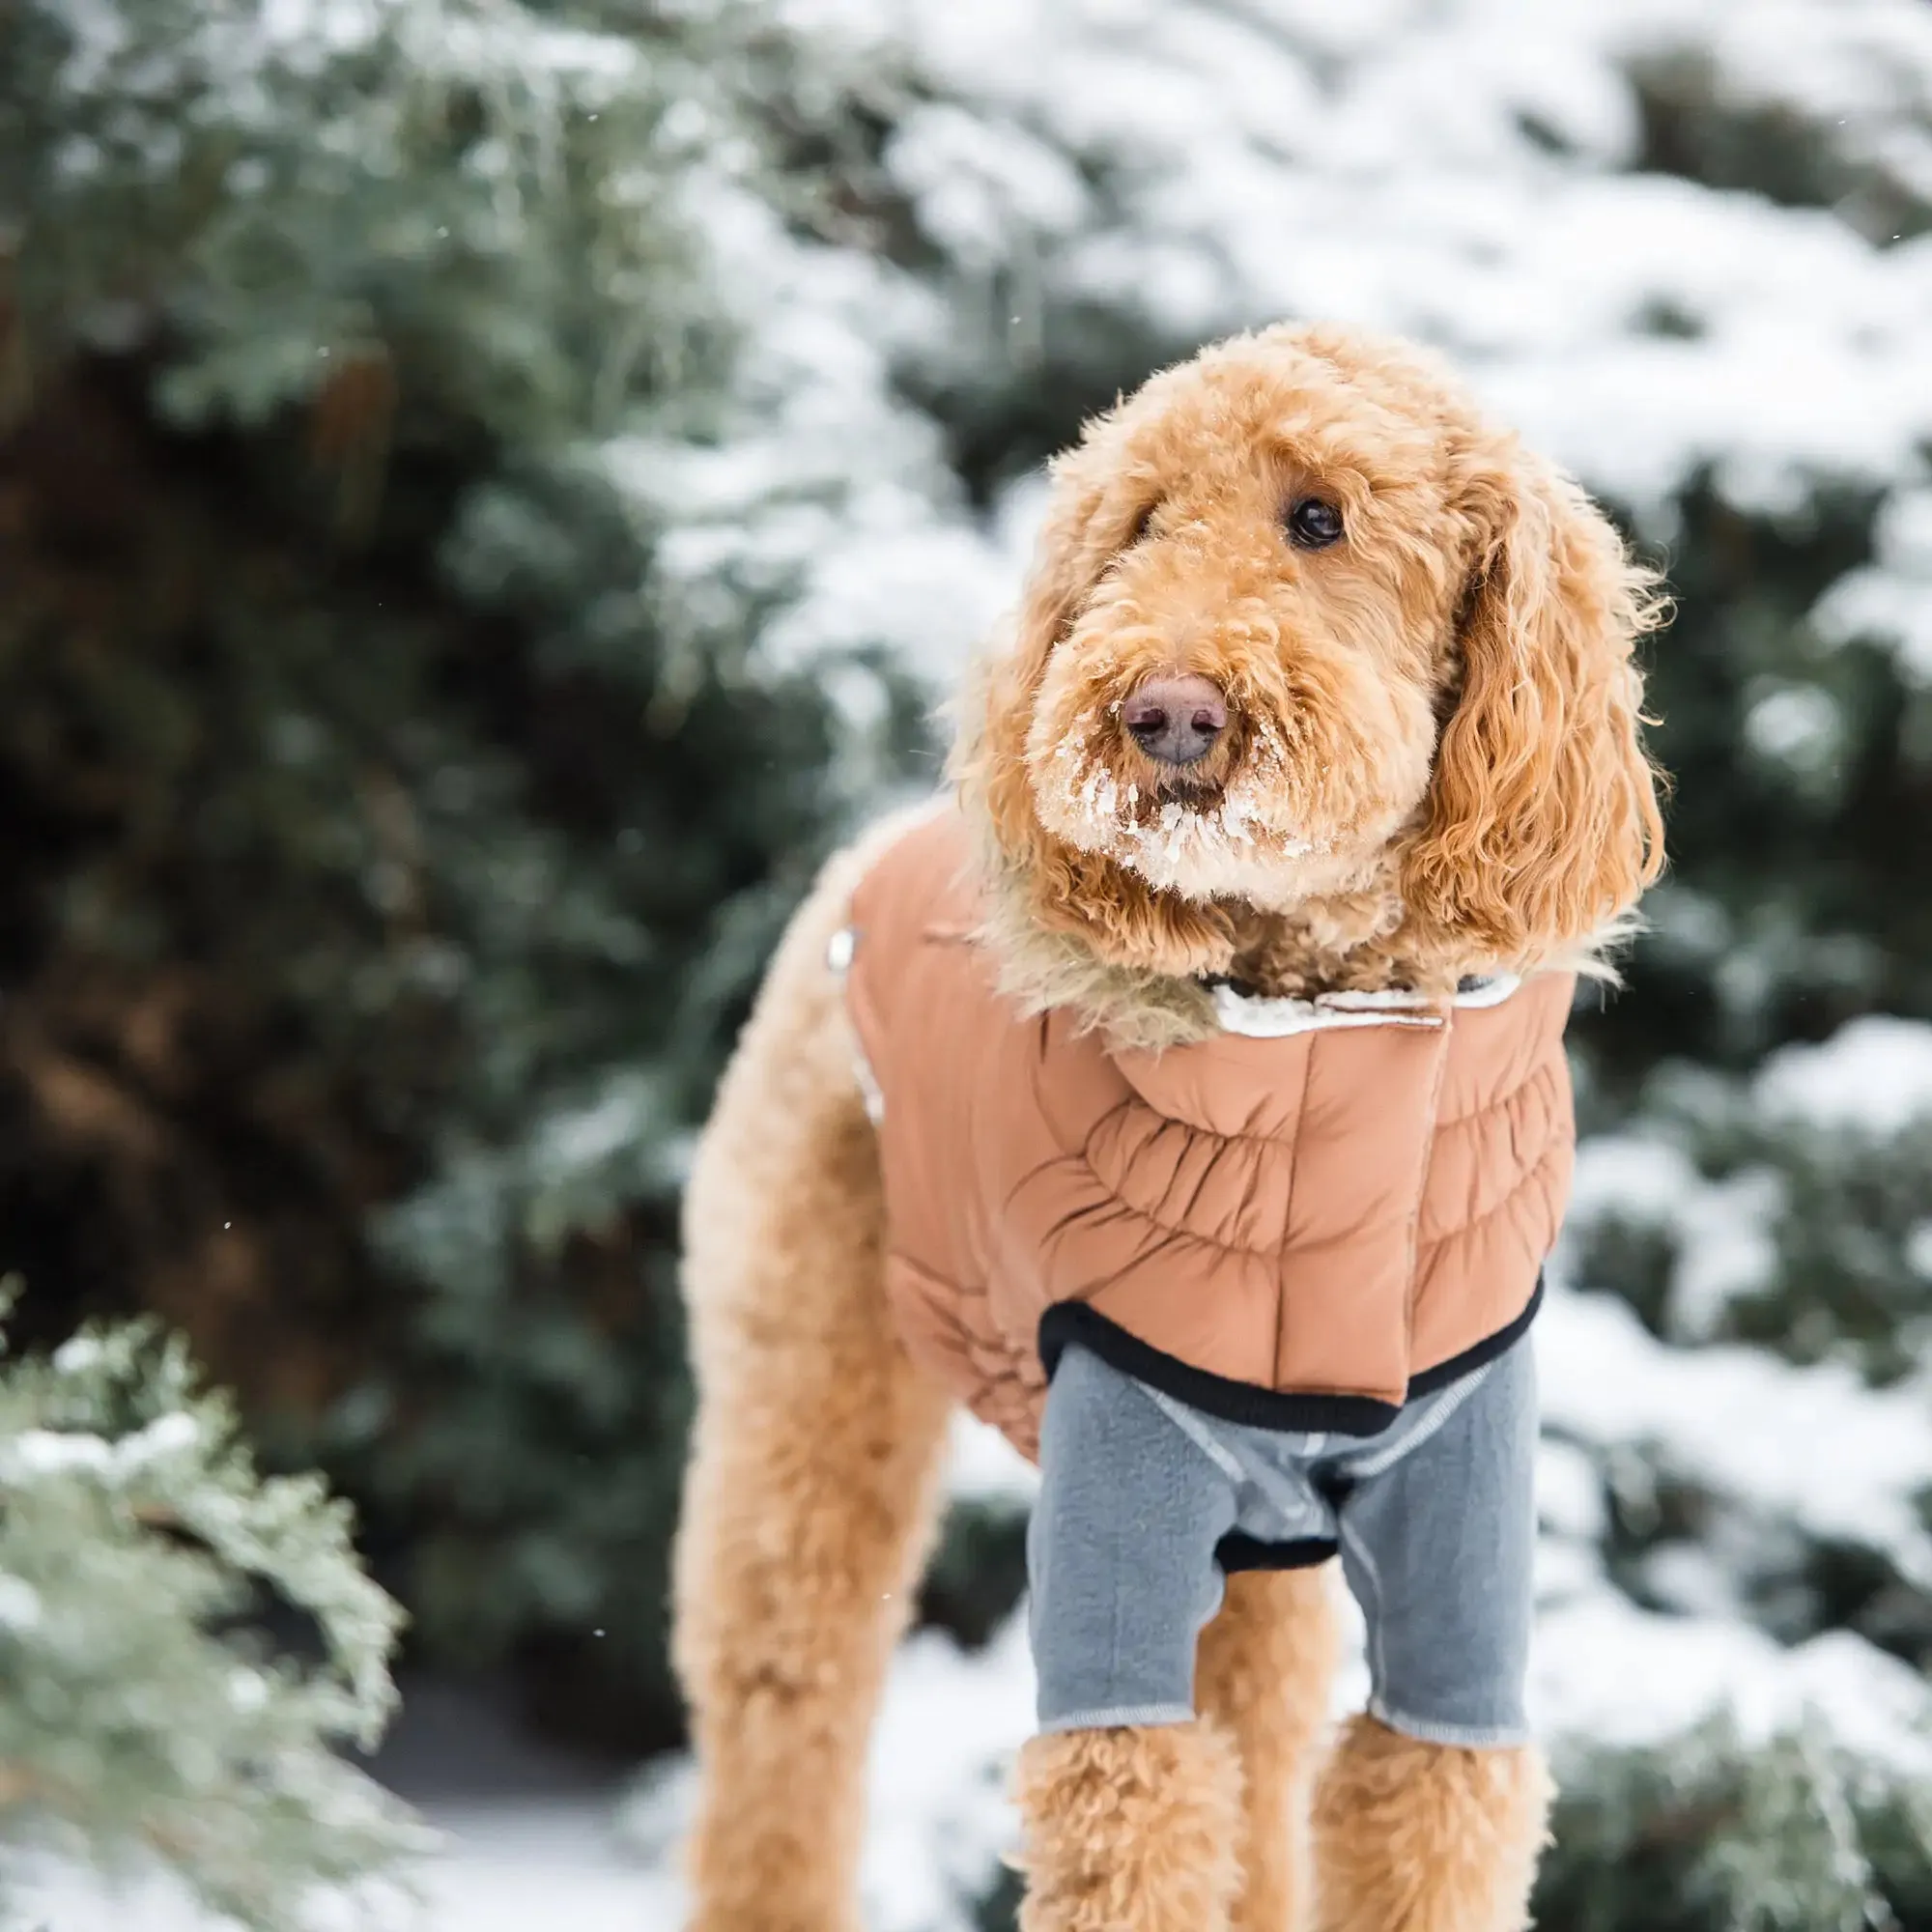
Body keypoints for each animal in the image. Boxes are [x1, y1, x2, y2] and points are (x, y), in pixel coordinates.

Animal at [672, 321, 1669, 1932]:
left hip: (1258, 1563)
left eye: (1320, 517)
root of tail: (868, 850)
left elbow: (1416, 1802)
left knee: (1258, 1764)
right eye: (1139, 525)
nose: (1169, 712)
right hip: (805, 1378)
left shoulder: (1456, 1565)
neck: (1337, 1063)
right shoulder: (1121, 1505)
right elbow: (1132, 1813)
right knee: (785, 1705)